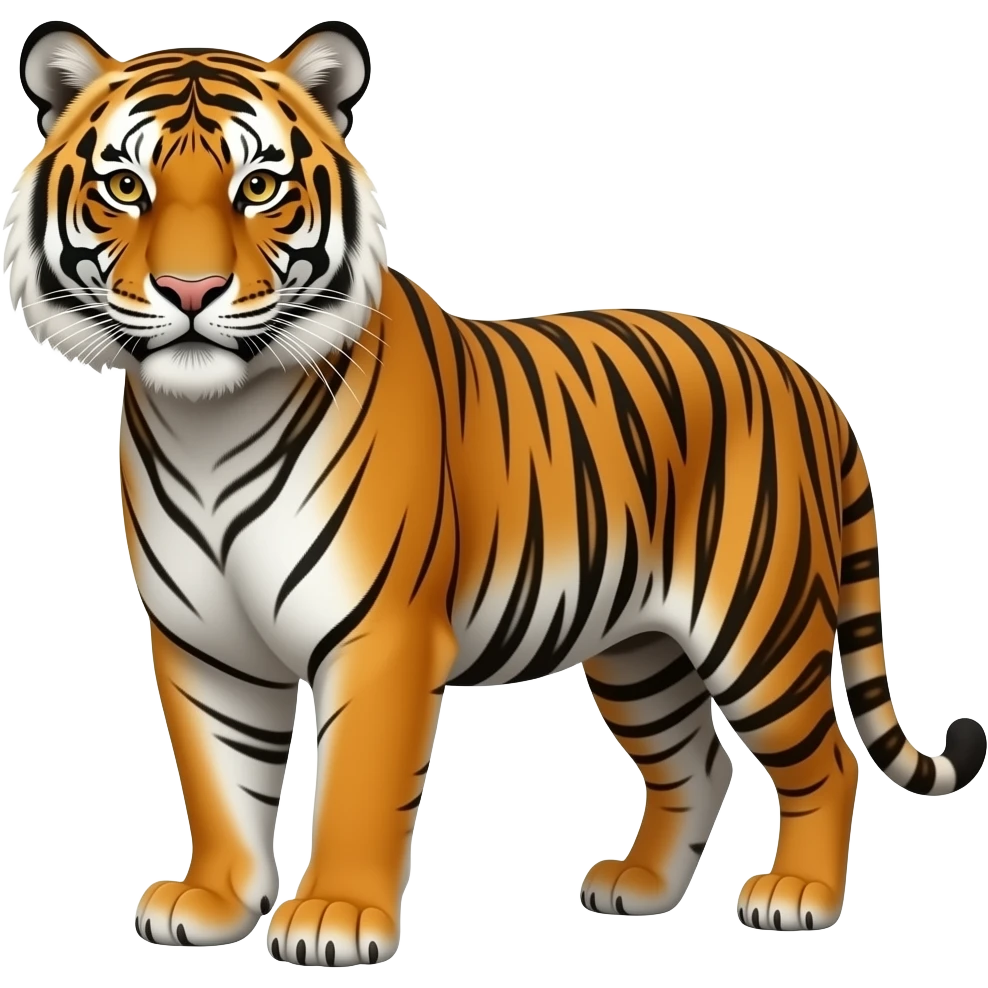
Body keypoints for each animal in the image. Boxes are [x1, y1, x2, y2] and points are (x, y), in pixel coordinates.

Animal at [3, 15, 984, 967]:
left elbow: (358, 783)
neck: (208, 420)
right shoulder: (204, 641)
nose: (192, 289)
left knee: (828, 760)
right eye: (124, 186)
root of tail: (803, 377)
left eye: (259, 187)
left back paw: (798, 897)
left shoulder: (381, 633)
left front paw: (333, 917)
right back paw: (640, 889)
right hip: (638, 648)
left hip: (758, 626)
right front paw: (211, 904)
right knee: (698, 761)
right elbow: (219, 780)